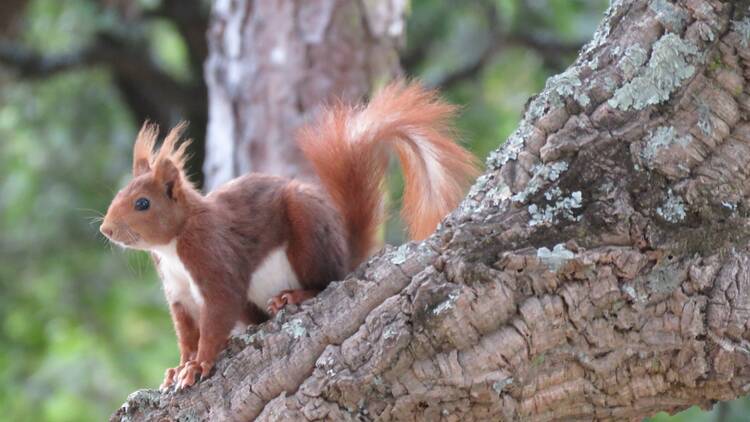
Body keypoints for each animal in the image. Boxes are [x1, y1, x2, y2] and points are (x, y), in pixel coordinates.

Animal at [100, 81, 478, 390]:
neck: (173, 245)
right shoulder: (178, 292)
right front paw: (178, 368)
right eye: (118, 194)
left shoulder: (213, 260)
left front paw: (199, 365)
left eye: (143, 203)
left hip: (307, 233)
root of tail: (345, 256)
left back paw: (293, 296)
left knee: (326, 280)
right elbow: (187, 334)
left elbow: (217, 315)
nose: (106, 229)